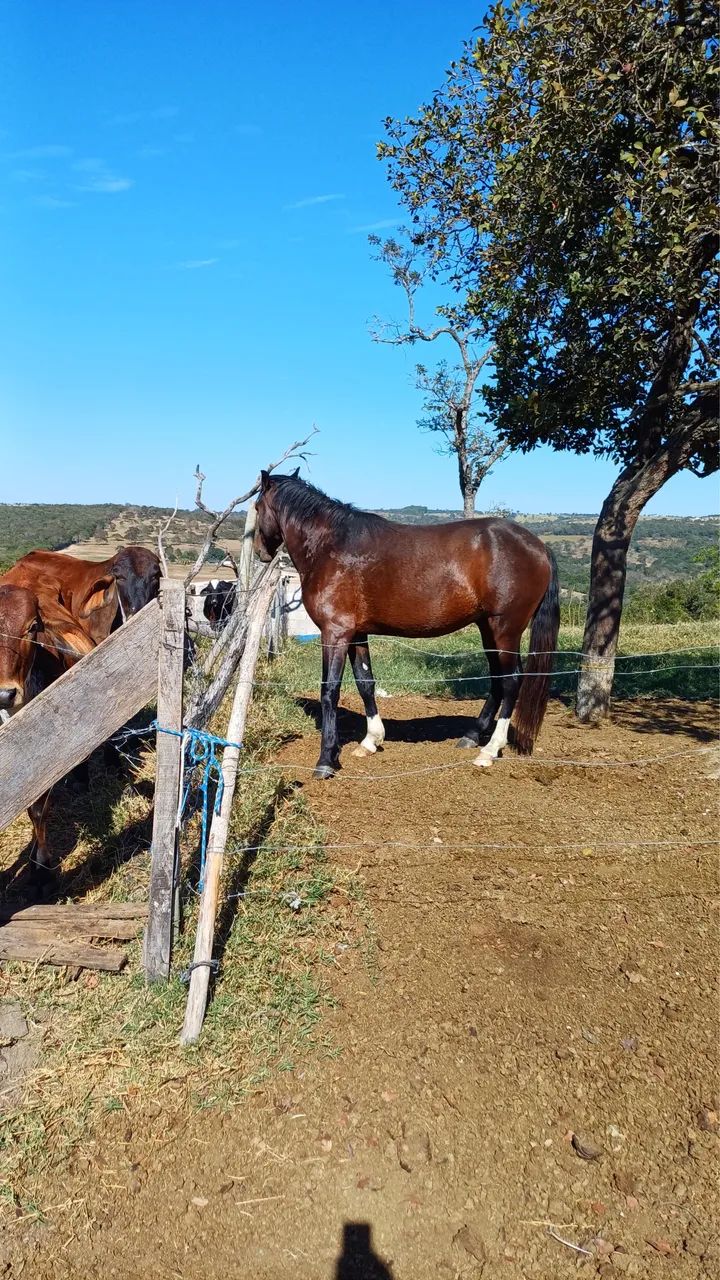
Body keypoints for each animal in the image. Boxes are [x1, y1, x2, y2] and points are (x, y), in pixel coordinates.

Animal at [253, 471, 559, 780]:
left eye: (256, 507)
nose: (259, 552)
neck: (330, 547)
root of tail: (539, 546)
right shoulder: (356, 633)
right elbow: (365, 682)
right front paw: (370, 741)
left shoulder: (335, 632)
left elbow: (330, 690)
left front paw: (326, 759)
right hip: (488, 629)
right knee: (497, 679)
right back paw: (472, 736)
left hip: (505, 629)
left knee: (511, 681)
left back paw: (490, 750)